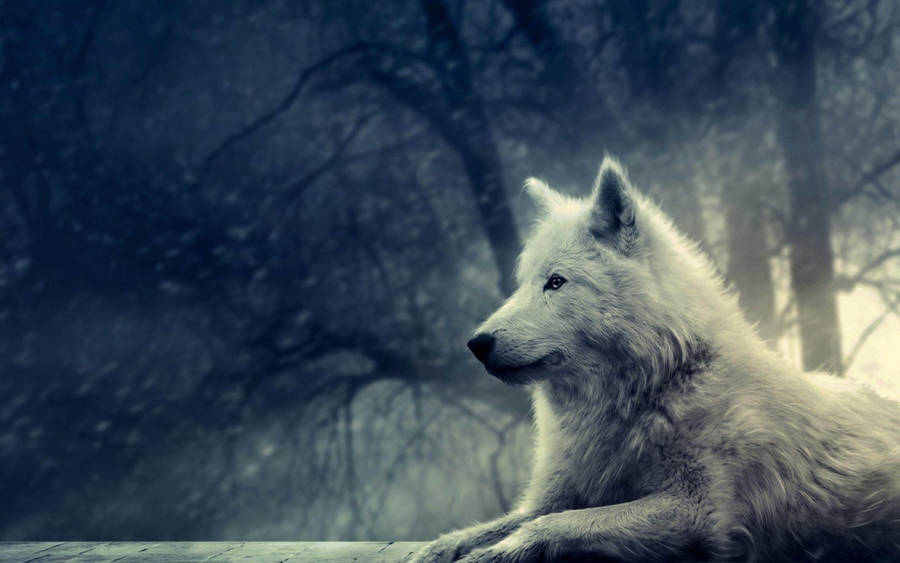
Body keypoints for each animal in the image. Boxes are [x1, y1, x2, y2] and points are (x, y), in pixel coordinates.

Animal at [412, 157, 900, 562]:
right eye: (523, 283)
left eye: (556, 282)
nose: (476, 343)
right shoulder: (557, 494)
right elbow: (494, 525)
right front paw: (436, 549)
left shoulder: (696, 511)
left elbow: (552, 525)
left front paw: (494, 553)